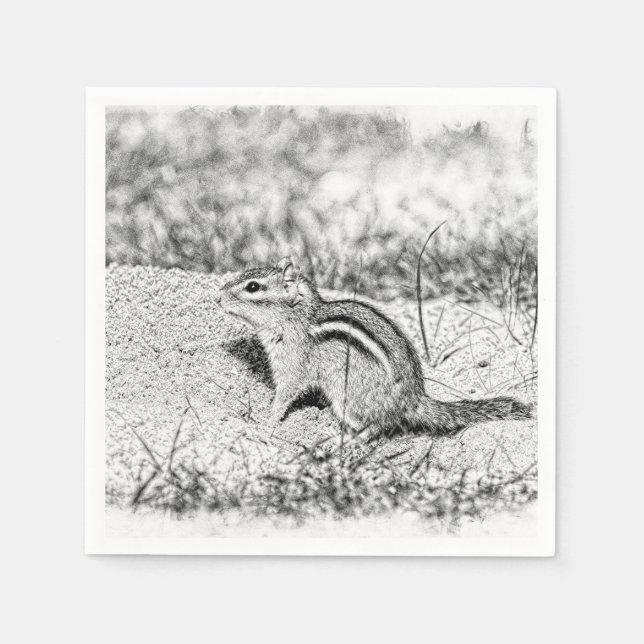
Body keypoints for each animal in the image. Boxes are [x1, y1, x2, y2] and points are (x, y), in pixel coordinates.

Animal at [216, 257, 532, 442]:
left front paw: (265, 423)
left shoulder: (293, 365)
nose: (217, 298)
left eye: (253, 287)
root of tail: (414, 400)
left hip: (347, 397)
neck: (298, 317)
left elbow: (284, 396)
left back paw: (342, 441)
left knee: (378, 426)